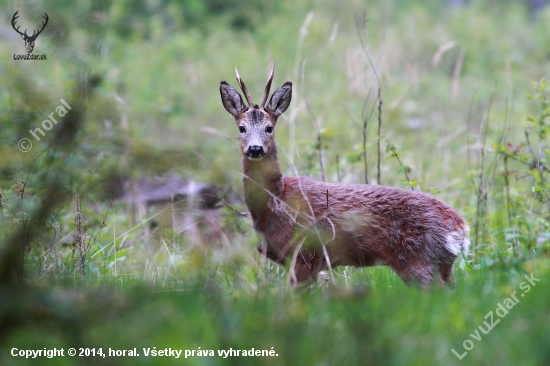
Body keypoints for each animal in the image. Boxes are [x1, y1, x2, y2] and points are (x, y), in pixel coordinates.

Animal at [220, 64, 470, 288]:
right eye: (242, 128)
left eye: (269, 128)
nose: (255, 149)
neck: (276, 200)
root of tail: (460, 228)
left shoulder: (305, 255)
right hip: (442, 266)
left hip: (419, 261)